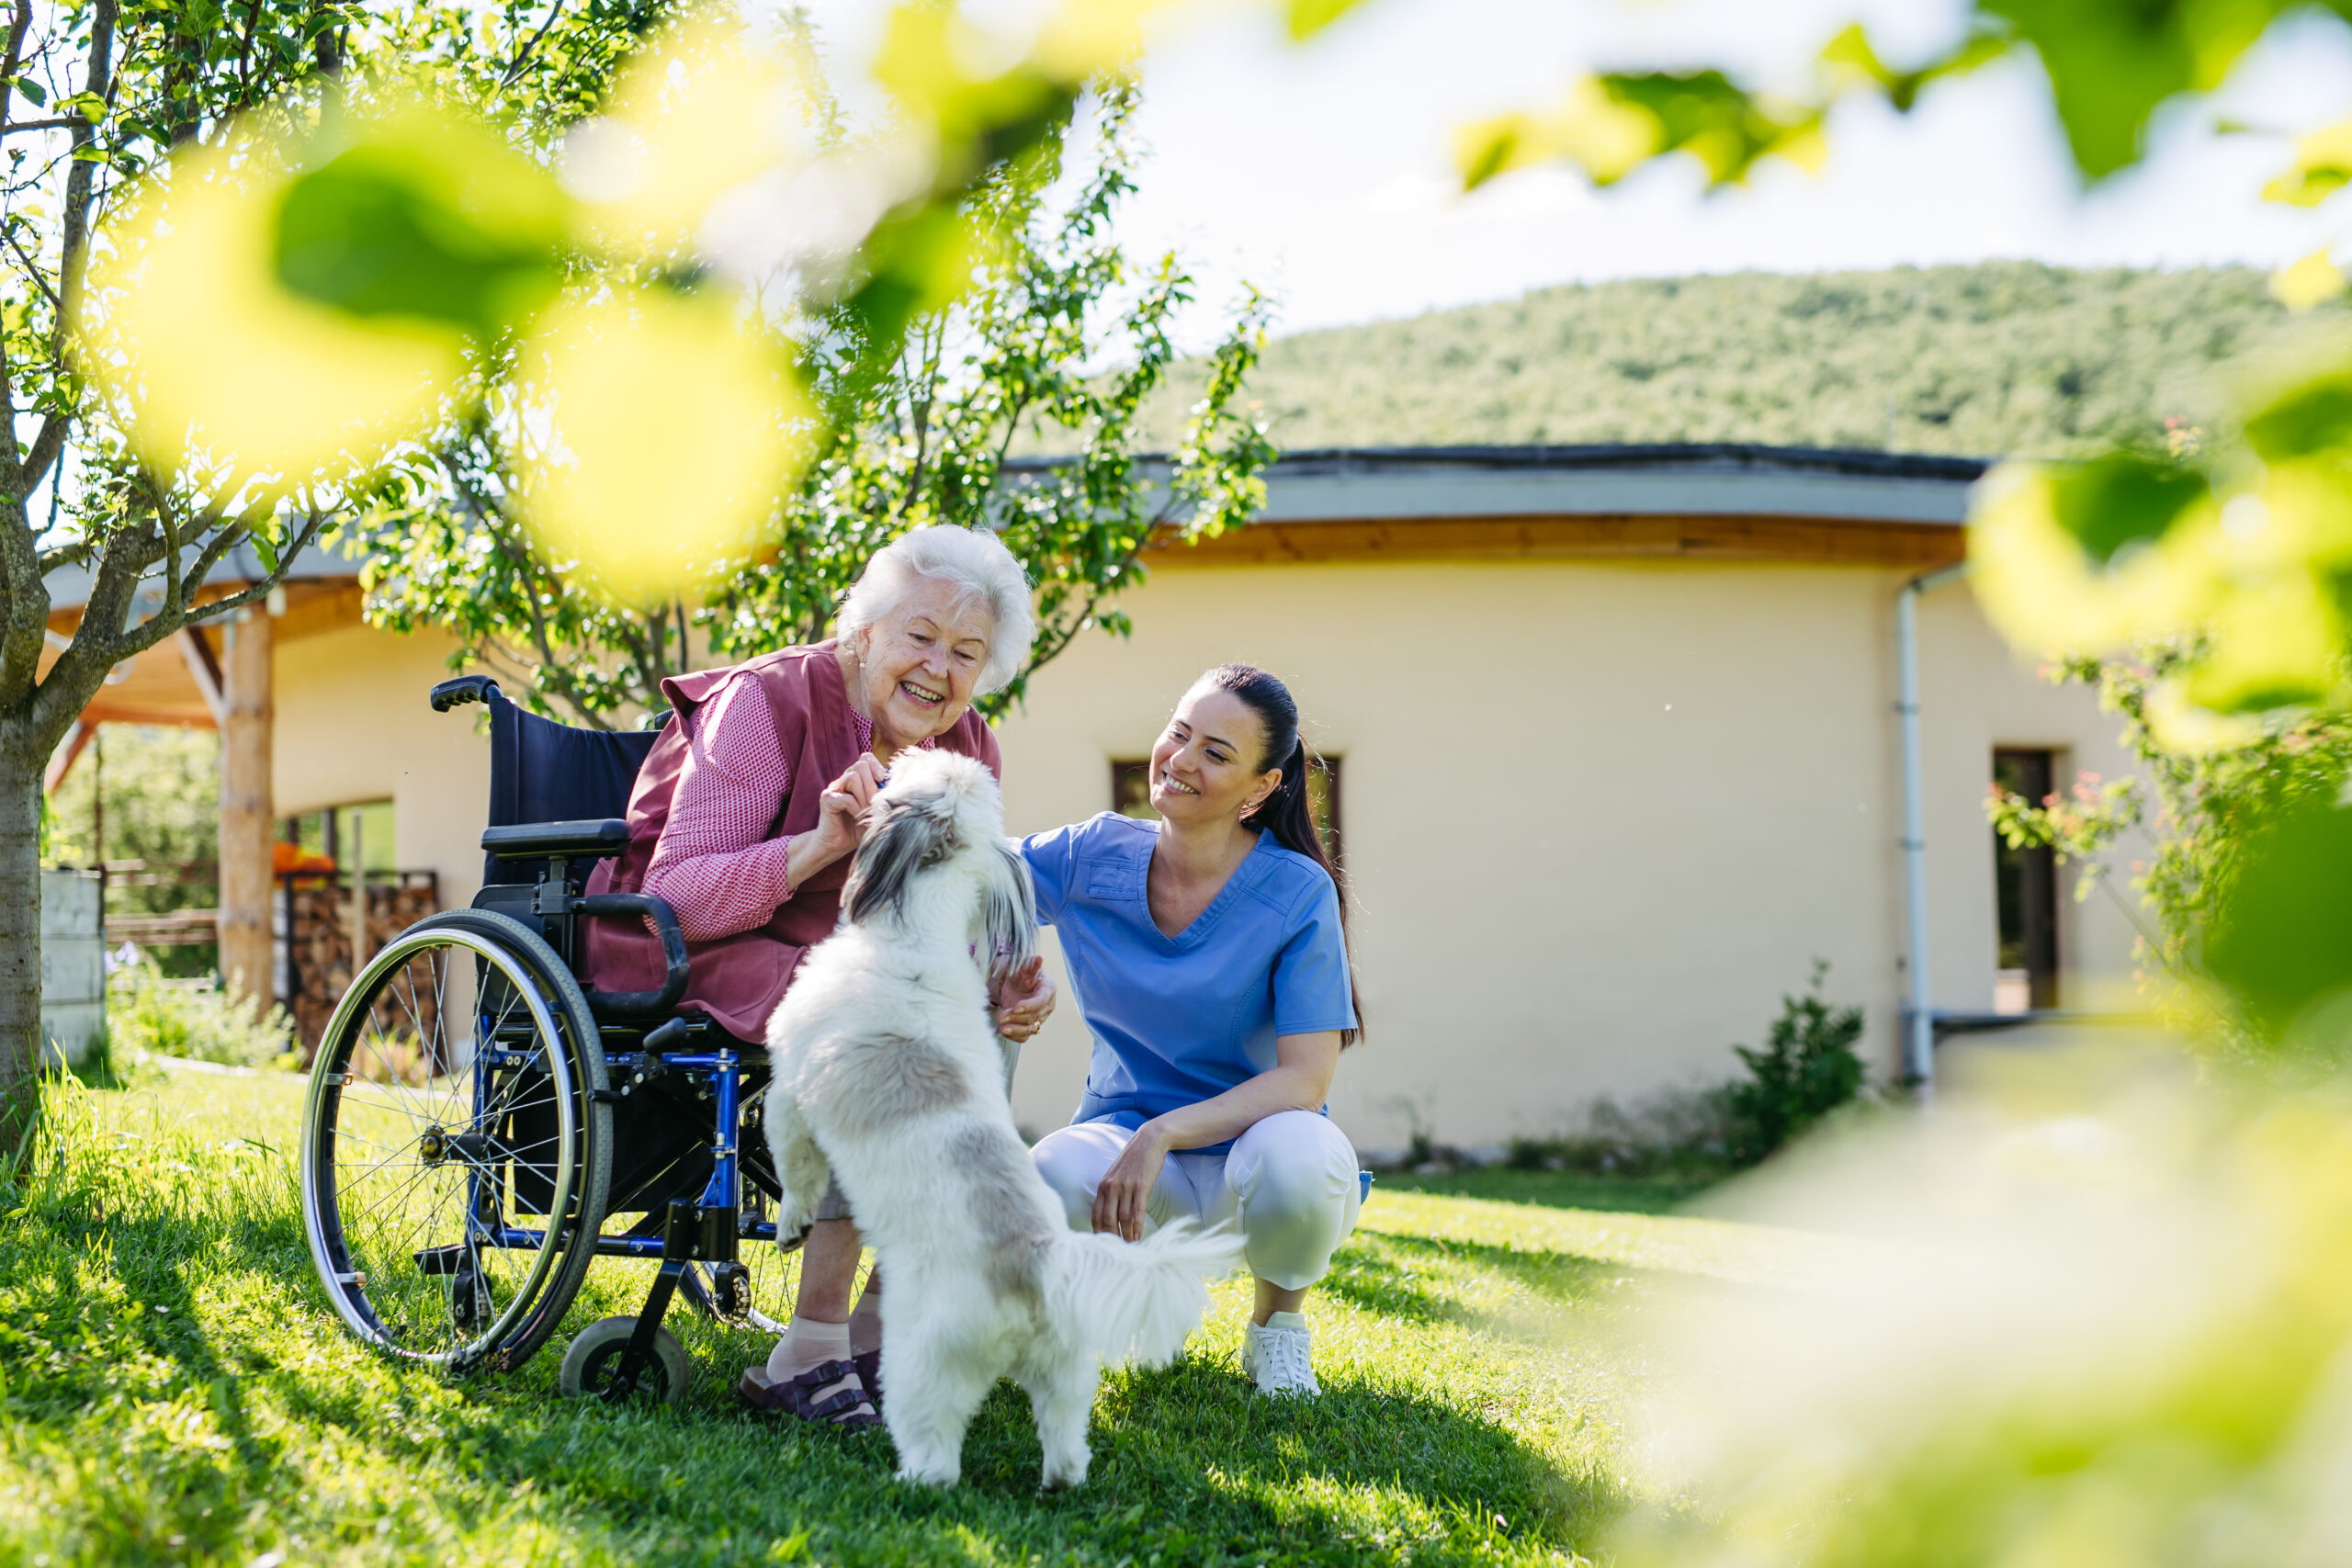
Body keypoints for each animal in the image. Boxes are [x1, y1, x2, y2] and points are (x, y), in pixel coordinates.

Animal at [766, 751, 1250, 1495]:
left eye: (909, 775)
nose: (890, 758)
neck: (916, 941)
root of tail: (1037, 1261)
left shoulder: (790, 1086)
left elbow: (795, 1164)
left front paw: (791, 1223)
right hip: (1065, 1372)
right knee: (1066, 1437)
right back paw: (1059, 1482)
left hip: (926, 1363)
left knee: (935, 1444)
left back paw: (910, 1480)